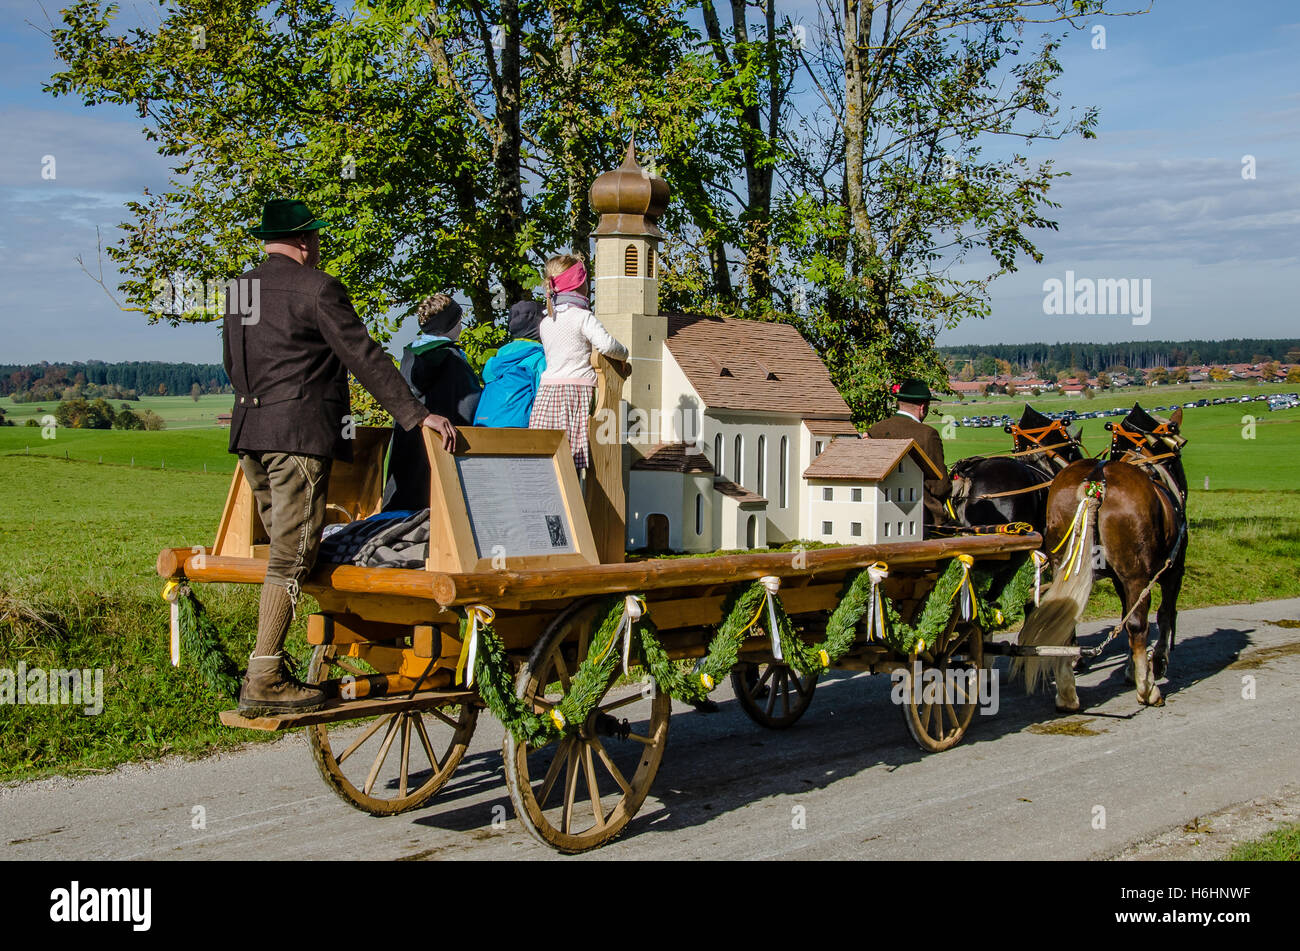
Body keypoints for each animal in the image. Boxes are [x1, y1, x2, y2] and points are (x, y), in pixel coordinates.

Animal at [1013, 405, 1190, 711]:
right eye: (1177, 451)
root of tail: (1095, 485)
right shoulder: (1171, 569)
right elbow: (1163, 614)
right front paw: (1155, 665)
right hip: (1135, 573)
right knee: (1137, 624)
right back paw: (1147, 690)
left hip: (1064, 564)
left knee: (1065, 621)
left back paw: (1067, 694)